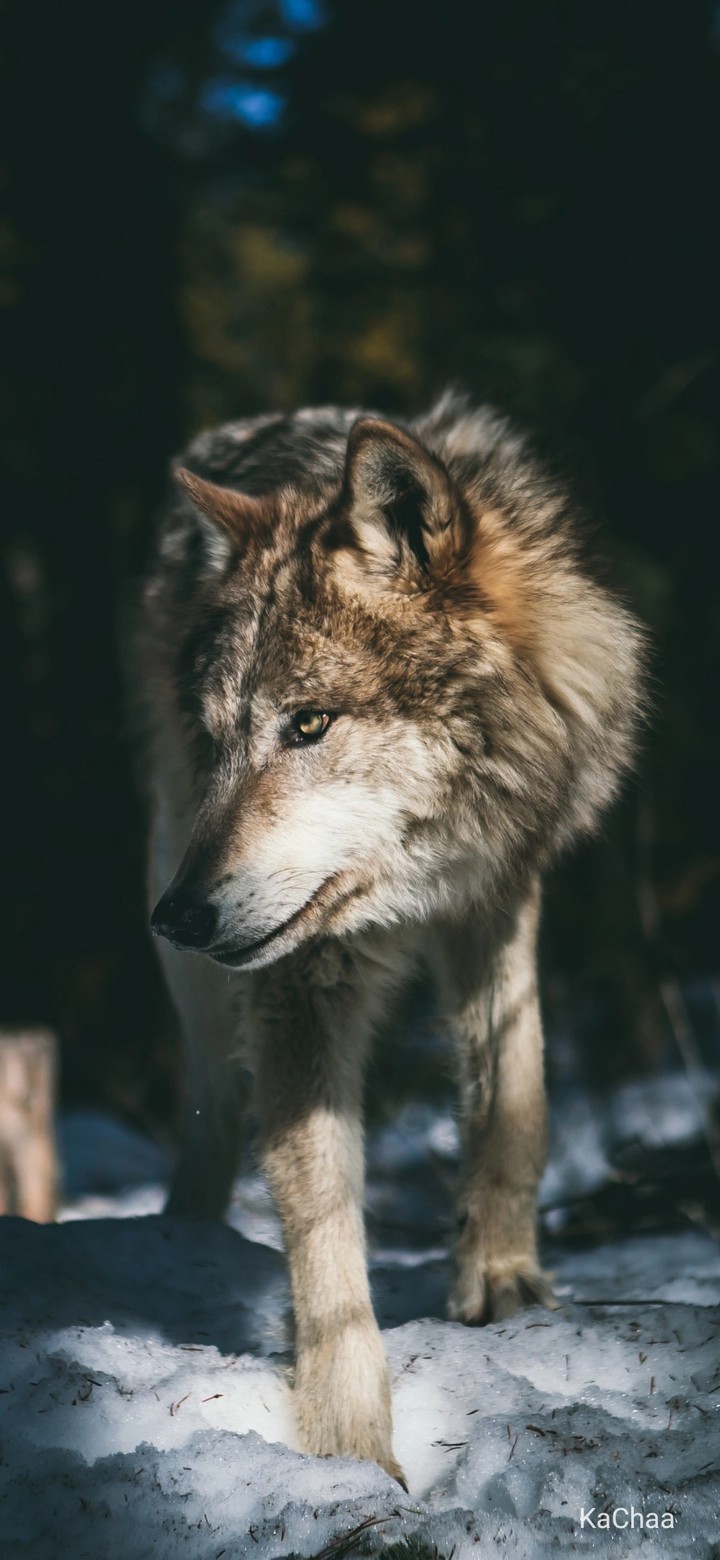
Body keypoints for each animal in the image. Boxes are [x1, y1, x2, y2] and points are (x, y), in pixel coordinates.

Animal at [139, 391, 644, 1483]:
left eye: (308, 724)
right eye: (221, 739)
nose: (179, 915)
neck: (417, 875)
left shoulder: (499, 892)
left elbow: (515, 1098)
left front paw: (501, 1280)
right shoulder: (299, 977)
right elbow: (322, 1224)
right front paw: (348, 1449)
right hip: (171, 878)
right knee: (212, 1107)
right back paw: (178, 1236)